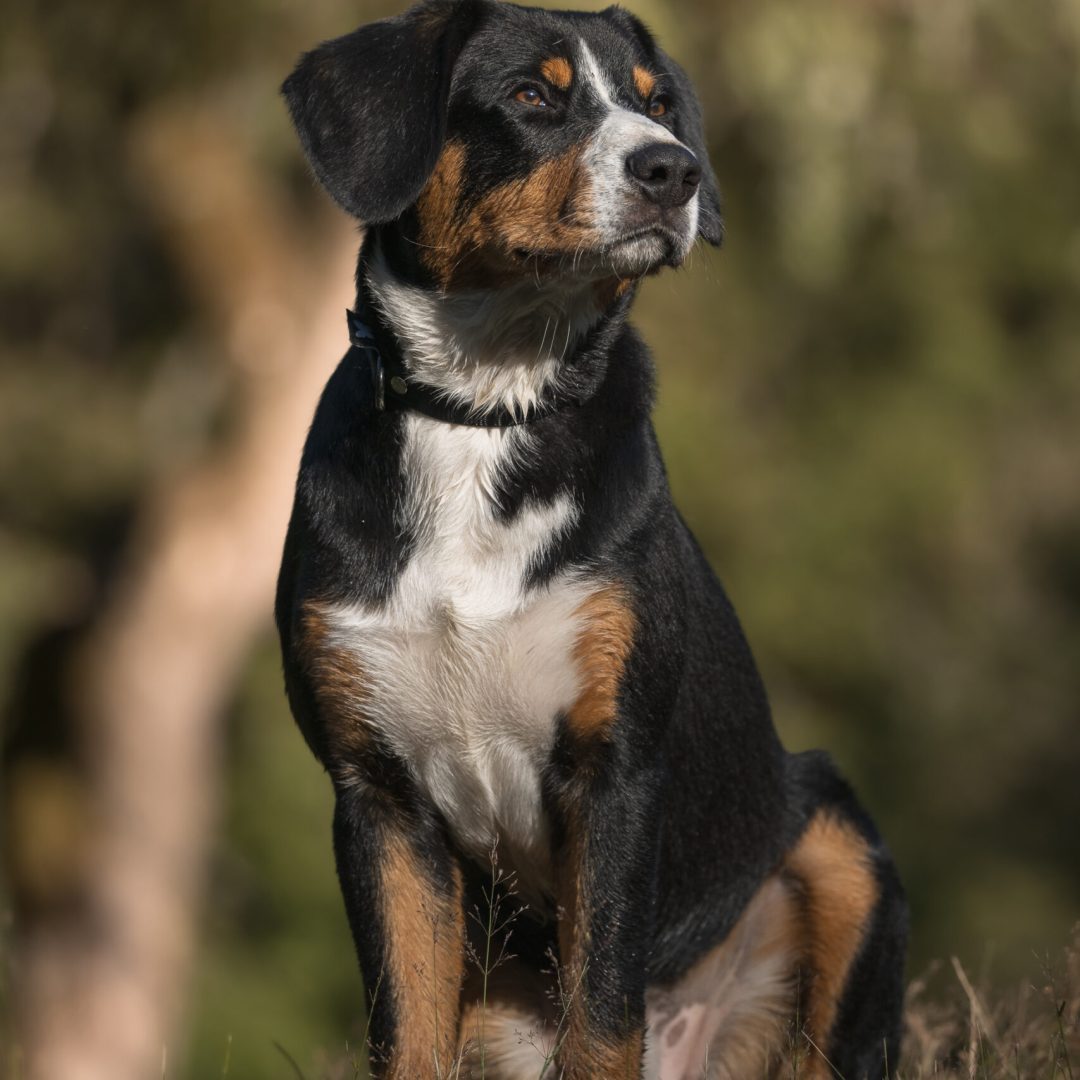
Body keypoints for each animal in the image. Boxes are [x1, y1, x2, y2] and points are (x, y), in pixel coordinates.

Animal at [274, 4, 907, 1075]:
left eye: (659, 104)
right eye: (534, 94)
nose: (673, 170)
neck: (484, 407)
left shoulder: (616, 773)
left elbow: (604, 1018)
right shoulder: (377, 798)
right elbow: (406, 1030)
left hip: (834, 834)